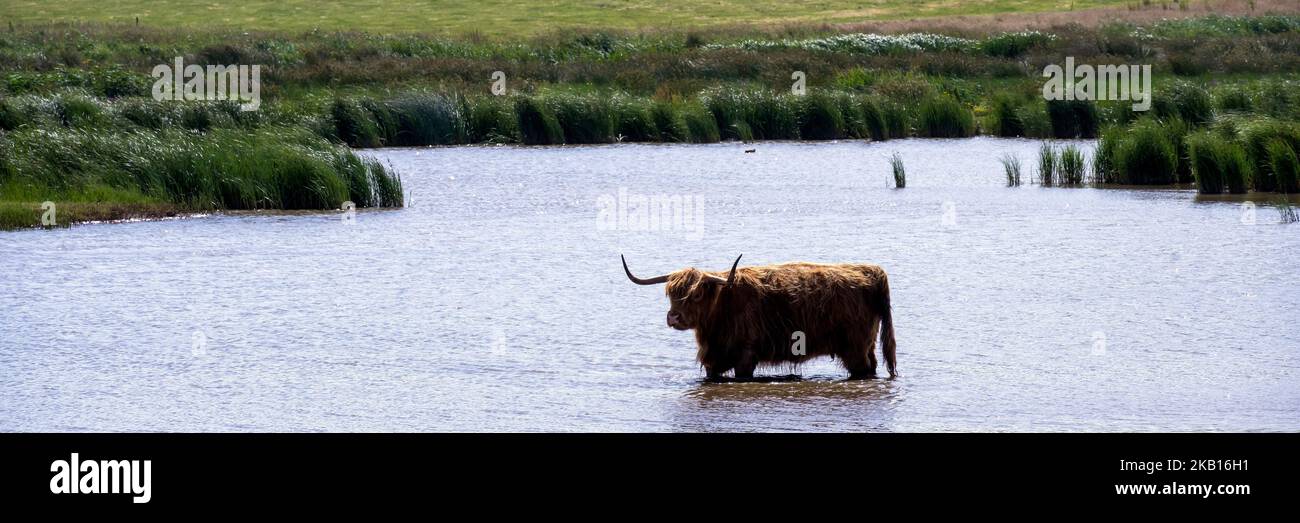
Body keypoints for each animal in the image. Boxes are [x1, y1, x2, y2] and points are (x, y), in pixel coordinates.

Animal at [622, 254, 897, 381]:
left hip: (854, 348)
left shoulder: (746, 355)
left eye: (696, 294)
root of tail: (871, 271)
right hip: (865, 345)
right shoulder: (713, 361)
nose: (673, 317)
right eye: (670, 293)